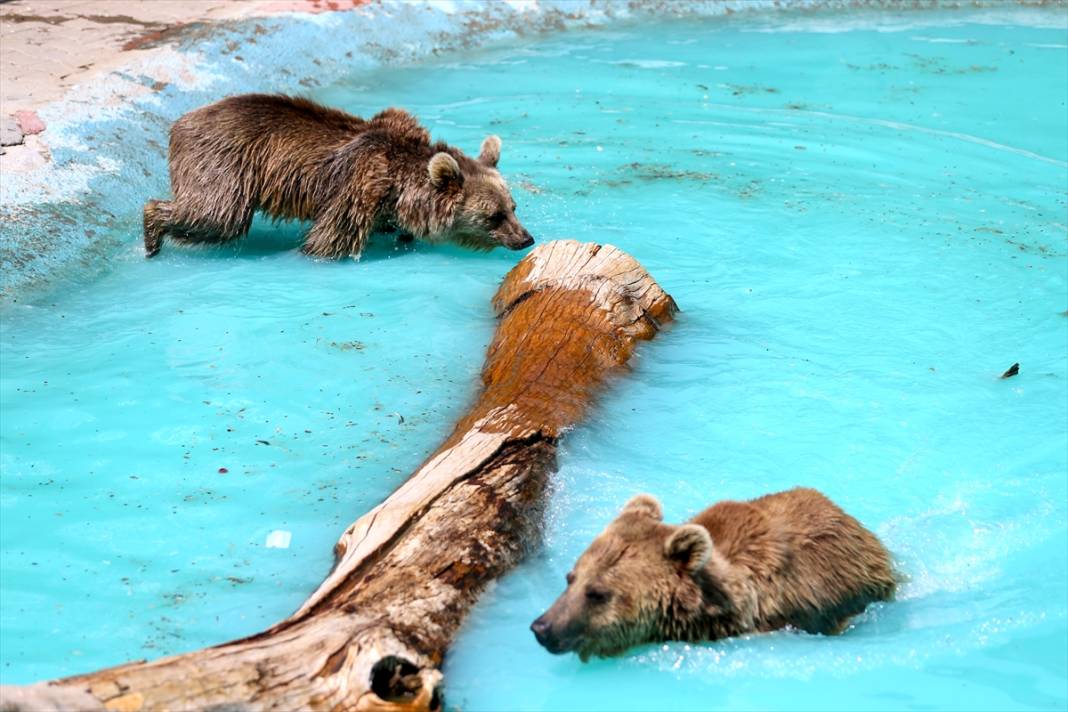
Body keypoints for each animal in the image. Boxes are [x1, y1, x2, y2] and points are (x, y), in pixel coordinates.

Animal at [144, 94, 534, 259]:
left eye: (513, 207)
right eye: (494, 216)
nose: (525, 238)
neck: (400, 184)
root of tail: (180, 122)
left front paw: (400, 233)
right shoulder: (359, 186)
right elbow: (329, 240)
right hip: (224, 163)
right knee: (216, 215)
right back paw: (152, 235)